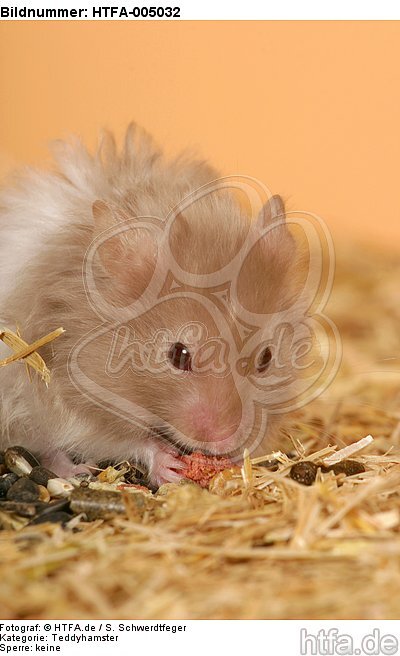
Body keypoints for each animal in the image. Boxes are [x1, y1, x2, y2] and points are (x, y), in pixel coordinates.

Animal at [0, 124, 306, 486]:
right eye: (178, 355)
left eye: (266, 358)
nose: (223, 440)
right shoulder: (81, 403)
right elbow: (130, 440)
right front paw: (168, 467)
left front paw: (233, 457)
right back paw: (74, 472)